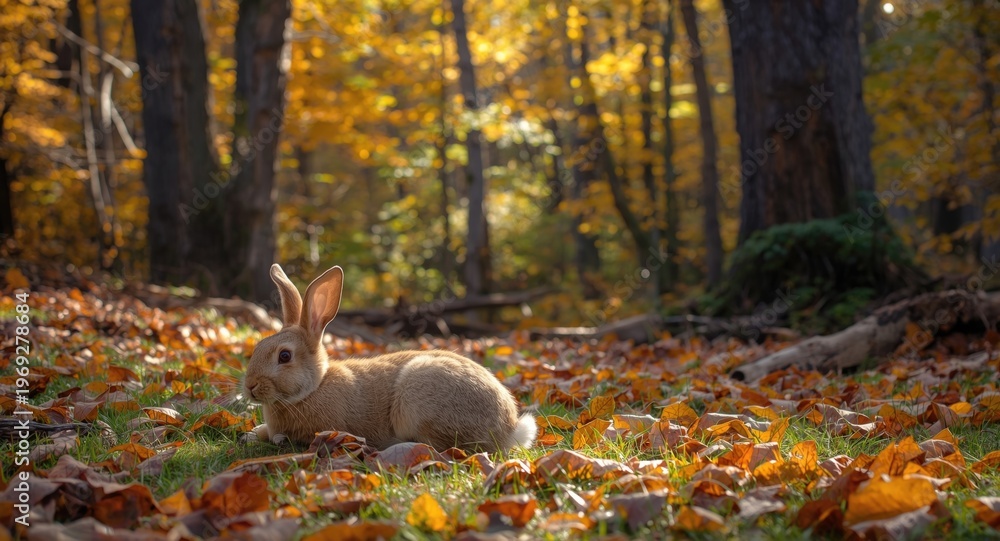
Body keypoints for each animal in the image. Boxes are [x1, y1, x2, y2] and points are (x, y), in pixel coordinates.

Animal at [241, 264, 537, 453]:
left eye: (285, 356)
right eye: (258, 346)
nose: (250, 386)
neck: (315, 386)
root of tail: (509, 429)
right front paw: (252, 435)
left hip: (418, 404)